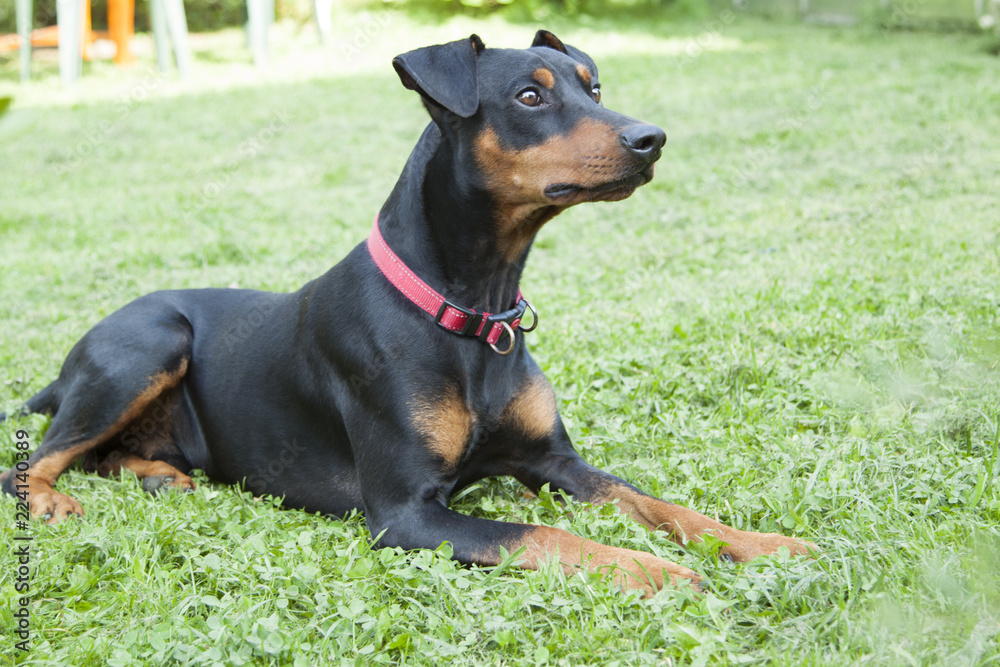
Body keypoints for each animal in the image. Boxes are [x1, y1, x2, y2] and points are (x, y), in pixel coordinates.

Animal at [1, 31, 812, 596]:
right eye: (530, 97)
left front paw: (765, 544)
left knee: (103, 455)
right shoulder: (406, 511)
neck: (474, 309)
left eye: (595, 85)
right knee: (33, 461)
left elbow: (659, 502)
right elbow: (540, 533)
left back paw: (161, 476)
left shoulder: (554, 461)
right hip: (148, 344)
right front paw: (652, 569)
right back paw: (54, 502)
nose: (651, 139)